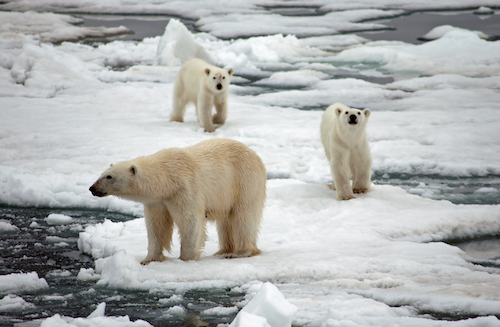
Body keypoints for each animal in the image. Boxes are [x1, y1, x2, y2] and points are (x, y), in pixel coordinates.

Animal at [89, 138, 266, 264]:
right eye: (102, 173)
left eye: (109, 176)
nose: (92, 188)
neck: (167, 178)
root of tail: (256, 155)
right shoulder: (158, 200)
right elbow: (156, 225)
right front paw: (149, 259)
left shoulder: (184, 188)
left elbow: (190, 220)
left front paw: (186, 258)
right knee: (226, 221)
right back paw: (223, 251)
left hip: (243, 181)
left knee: (244, 216)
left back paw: (240, 252)